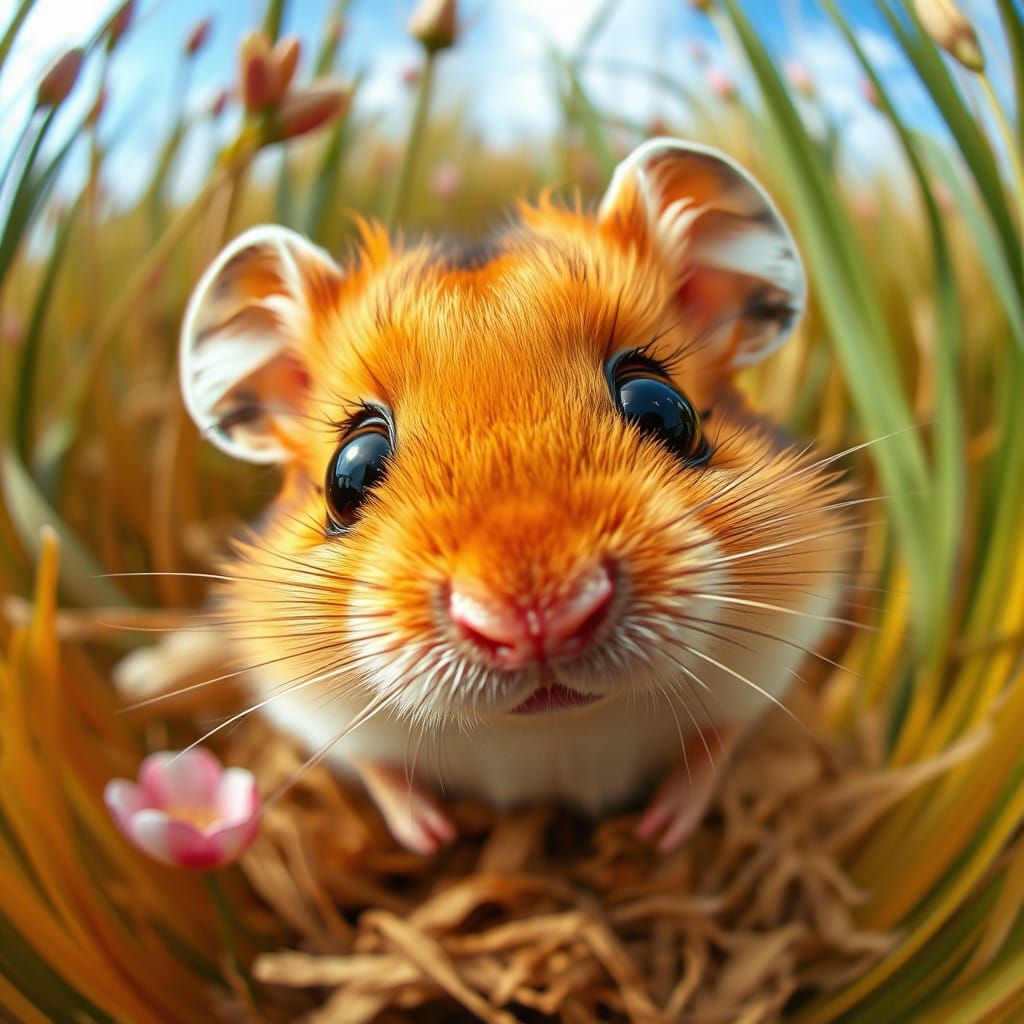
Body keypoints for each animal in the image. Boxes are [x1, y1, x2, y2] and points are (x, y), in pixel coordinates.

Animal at [177, 139, 850, 853]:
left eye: (666, 410)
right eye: (347, 475)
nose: (538, 620)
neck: (552, 733)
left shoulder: (780, 649)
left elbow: (717, 746)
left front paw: (660, 834)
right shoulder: (304, 705)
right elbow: (378, 772)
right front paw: (433, 838)